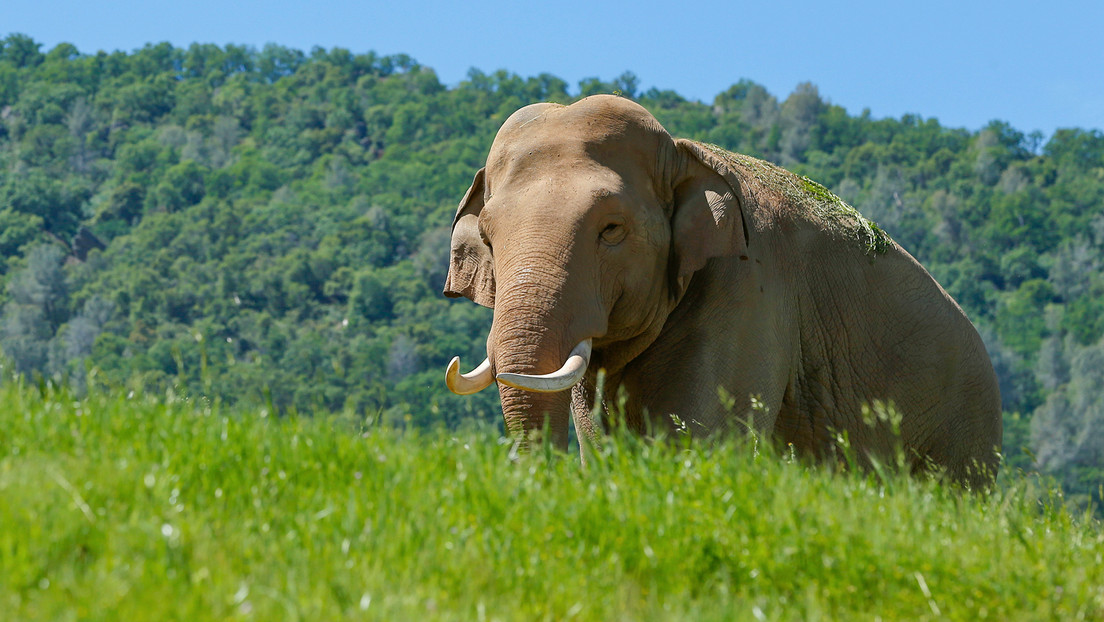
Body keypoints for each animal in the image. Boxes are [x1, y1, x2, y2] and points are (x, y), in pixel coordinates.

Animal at [439, 95, 1002, 488]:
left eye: (612, 230)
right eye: (488, 236)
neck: (686, 153)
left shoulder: (748, 295)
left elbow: (700, 433)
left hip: (963, 434)